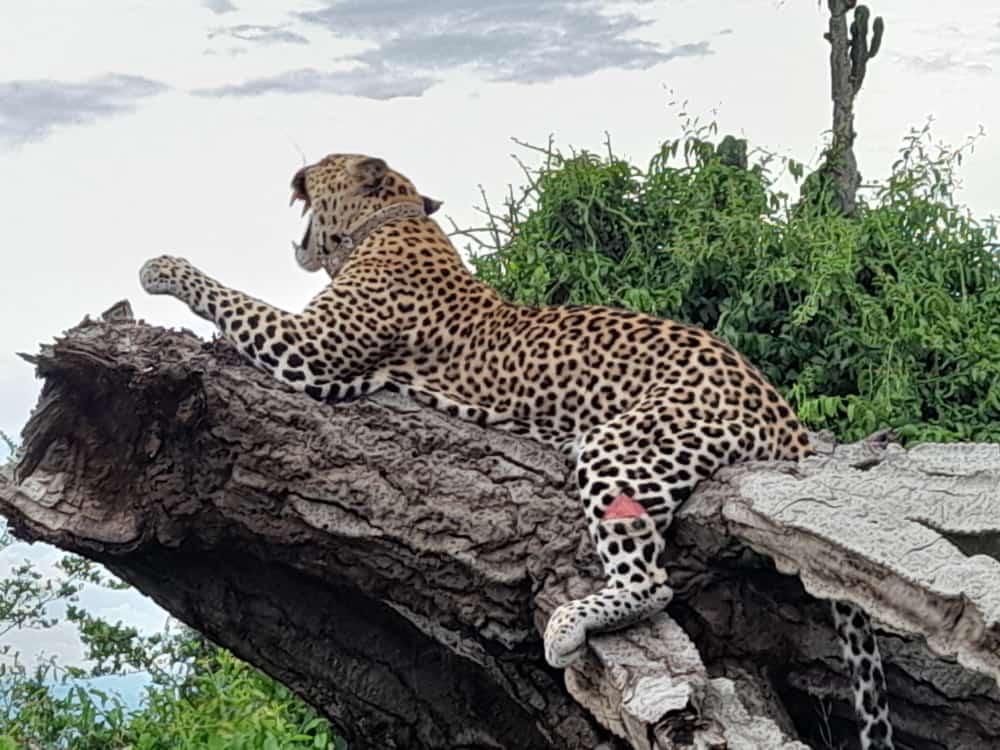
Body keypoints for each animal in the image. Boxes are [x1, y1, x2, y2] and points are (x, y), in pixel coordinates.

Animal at [140, 152, 893, 750]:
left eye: (322, 163)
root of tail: (780, 407)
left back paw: (567, 626)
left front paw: (162, 267)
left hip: (621, 443)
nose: (295, 171)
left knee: (651, 582)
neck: (389, 222)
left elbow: (232, 297)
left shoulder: (312, 353)